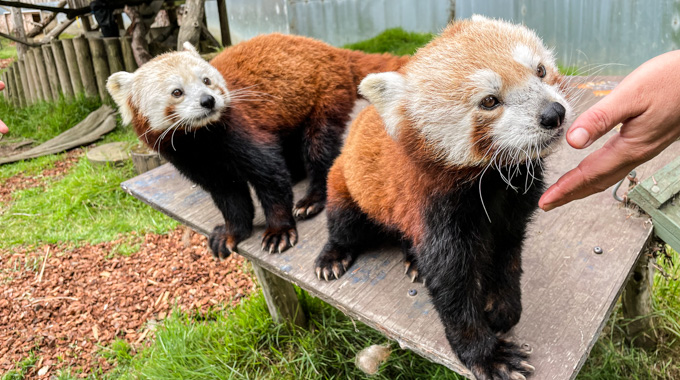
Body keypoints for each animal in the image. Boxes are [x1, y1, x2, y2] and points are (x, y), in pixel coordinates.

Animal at [107, 33, 410, 258]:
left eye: (206, 80)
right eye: (177, 92)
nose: (208, 101)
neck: (201, 142)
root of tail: (329, 48)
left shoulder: (242, 133)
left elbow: (270, 180)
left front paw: (278, 232)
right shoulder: (196, 163)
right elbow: (229, 197)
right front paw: (231, 233)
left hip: (324, 96)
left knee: (319, 148)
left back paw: (311, 198)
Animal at [316, 15, 572, 380]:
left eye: (540, 70)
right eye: (489, 101)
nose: (554, 113)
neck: (494, 184)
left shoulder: (515, 207)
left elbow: (508, 255)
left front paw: (504, 306)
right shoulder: (435, 209)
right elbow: (452, 287)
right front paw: (488, 354)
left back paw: (412, 260)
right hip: (348, 185)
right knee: (344, 222)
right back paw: (332, 256)